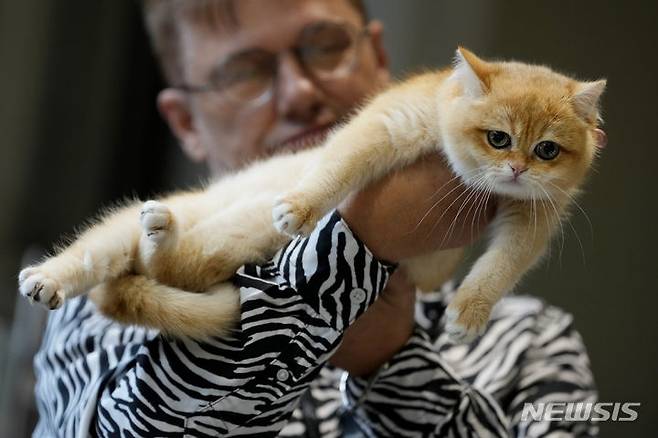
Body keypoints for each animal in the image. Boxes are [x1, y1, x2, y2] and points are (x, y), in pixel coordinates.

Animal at [16, 48, 604, 342]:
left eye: (547, 150)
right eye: (498, 138)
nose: (517, 168)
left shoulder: (532, 219)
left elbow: (501, 267)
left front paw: (468, 312)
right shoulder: (386, 123)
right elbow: (338, 166)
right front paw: (300, 207)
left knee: (164, 265)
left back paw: (160, 233)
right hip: (195, 228)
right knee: (112, 257)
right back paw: (50, 278)